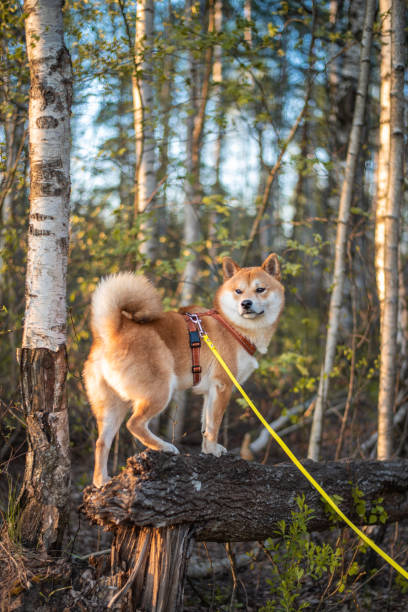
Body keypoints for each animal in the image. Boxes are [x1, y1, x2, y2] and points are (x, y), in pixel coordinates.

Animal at [84, 251, 284, 486]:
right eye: (239, 291)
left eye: (260, 289)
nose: (246, 303)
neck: (233, 326)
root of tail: (112, 332)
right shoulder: (223, 385)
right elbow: (214, 424)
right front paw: (213, 450)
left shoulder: (210, 392)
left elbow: (206, 424)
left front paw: (207, 450)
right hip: (160, 391)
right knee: (135, 424)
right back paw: (164, 447)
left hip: (113, 406)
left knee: (101, 442)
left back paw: (101, 480)